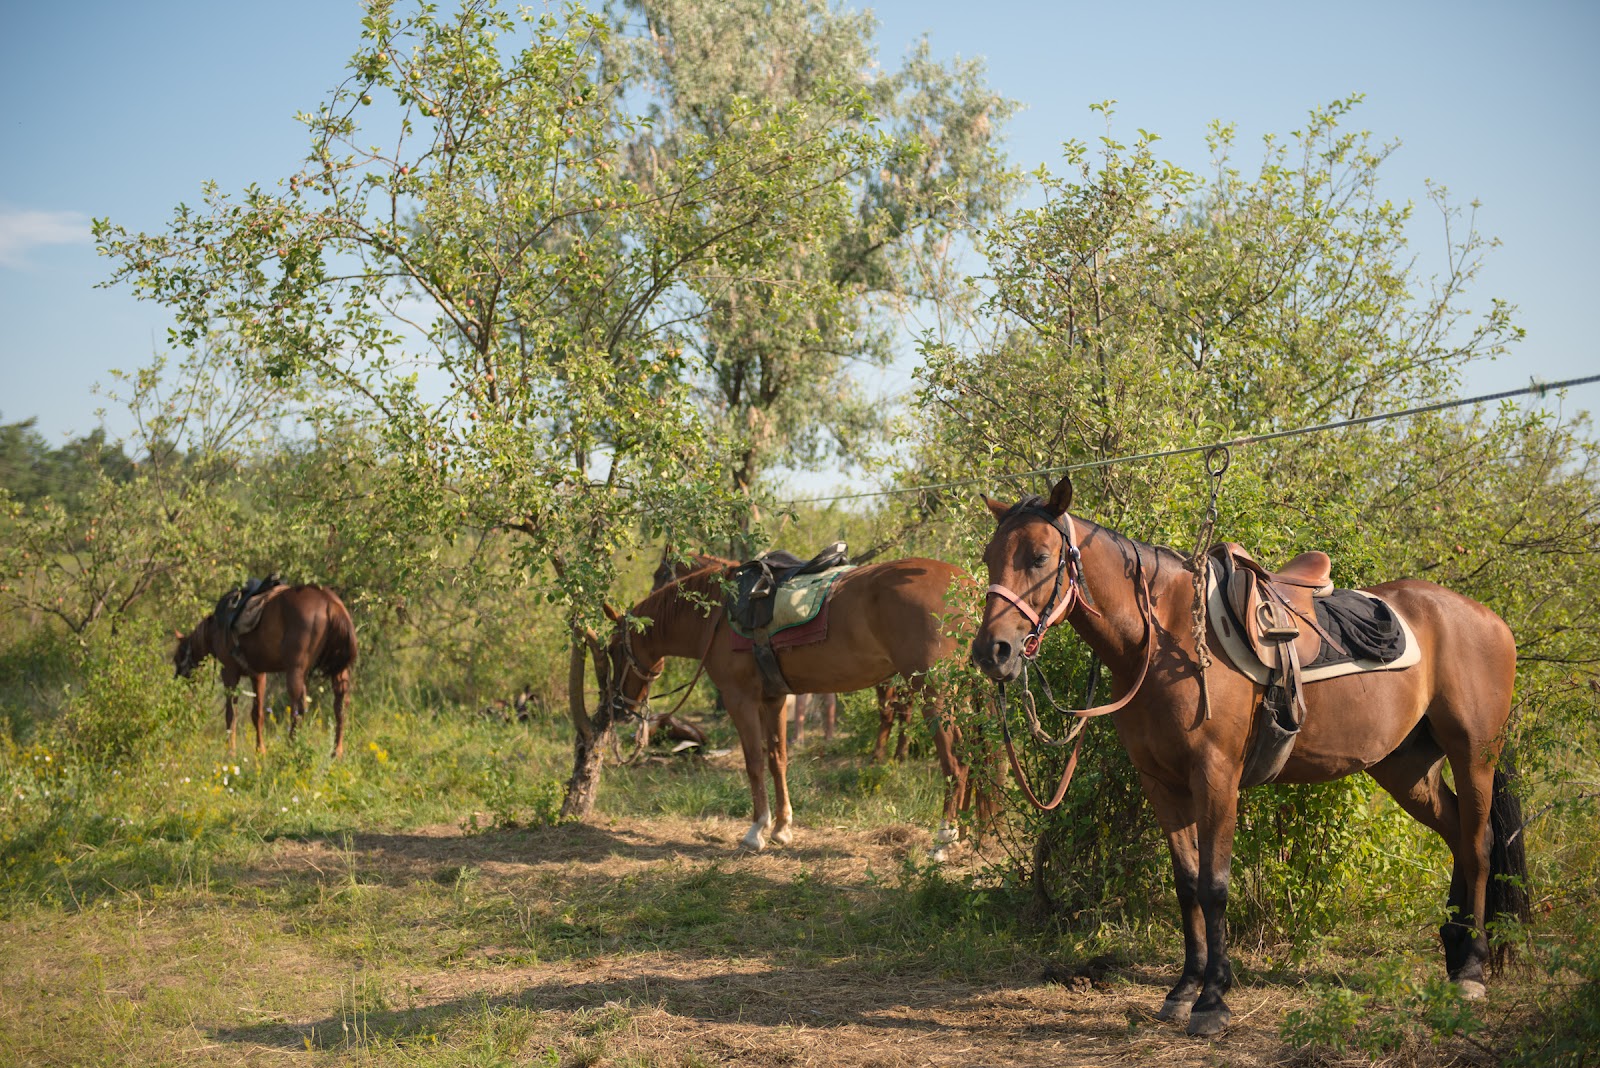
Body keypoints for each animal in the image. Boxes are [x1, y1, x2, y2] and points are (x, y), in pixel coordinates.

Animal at [173, 584, 358, 758]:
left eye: (177, 657)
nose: (176, 682)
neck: (216, 629)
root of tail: (330, 603)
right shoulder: (258, 675)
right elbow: (257, 714)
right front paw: (260, 750)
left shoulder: (230, 673)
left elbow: (231, 714)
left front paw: (231, 751)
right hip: (339, 672)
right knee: (341, 706)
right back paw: (336, 752)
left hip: (295, 672)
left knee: (298, 709)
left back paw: (291, 748)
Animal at [604, 556, 984, 853]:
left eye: (612, 650)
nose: (618, 707)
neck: (718, 614)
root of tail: (968, 585)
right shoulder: (774, 698)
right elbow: (778, 759)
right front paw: (781, 828)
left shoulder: (740, 698)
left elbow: (754, 763)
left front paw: (755, 831)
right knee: (970, 757)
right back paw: (964, 832)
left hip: (935, 693)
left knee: (954, 763)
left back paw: (943, 840)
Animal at [969, 475, 1528, 1037]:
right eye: (990, 556)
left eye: (1041, 557)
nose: (992, 652)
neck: (1166, 641)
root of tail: (1489, 619)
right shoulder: (1162, 783)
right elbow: (1187, 884)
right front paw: (1184, 989)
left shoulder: (1215, 776)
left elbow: (1214, 886)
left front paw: (1213, 999)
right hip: (1406, 768)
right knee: (1458, 833)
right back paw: (1455, 949)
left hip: (1473, 756)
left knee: (1478, 845)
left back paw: (1472, 968)